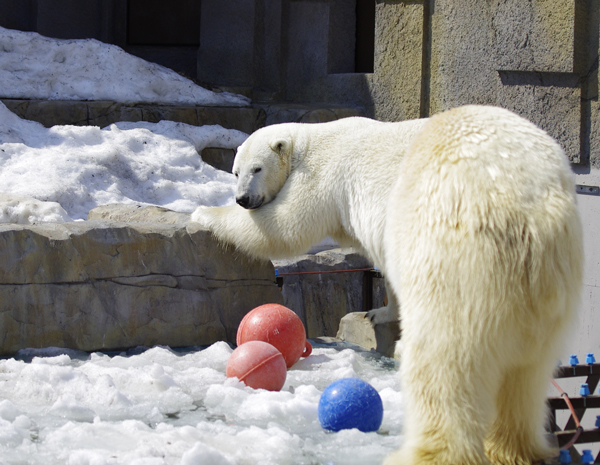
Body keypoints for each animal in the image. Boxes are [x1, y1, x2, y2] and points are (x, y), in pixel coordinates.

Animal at [195, 105, 584, 464]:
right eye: (235, 172)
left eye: (256, 169)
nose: (243, 198)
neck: (309, 140)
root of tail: (530, 209)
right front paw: (378, 312)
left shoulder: (321, 175)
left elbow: (284, 225)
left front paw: (203, 213)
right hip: (551, 281)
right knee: (527, 374)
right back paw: (512, 448)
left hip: (458, 250)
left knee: (444, 357)